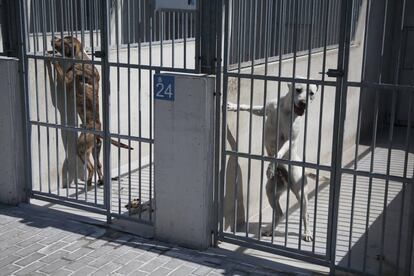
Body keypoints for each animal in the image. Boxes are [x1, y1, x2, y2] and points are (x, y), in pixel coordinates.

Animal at [48, 36, 133, 188]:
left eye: (63, 40)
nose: (52, 38)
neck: (80, 58)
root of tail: (99, 131)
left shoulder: (66, 79)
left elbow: (58, 69)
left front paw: (53, 59)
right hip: (95, 150)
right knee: (98, 165)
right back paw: (100, 181)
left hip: (82, 149)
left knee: (92, 167)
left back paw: (89, 182)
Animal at [228, 80, 318, 242]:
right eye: (298, 89)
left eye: (312, 93)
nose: (304, 103)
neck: (287, 109)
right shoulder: (265, 109)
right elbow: (251, 107)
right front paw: (233, 106)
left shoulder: (290, 138)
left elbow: (280, 151)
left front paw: (271, 165)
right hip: (271, 191)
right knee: (280, 214)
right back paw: (270, 230)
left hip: (300, 193)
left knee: (305, 214)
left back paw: (307, 233)